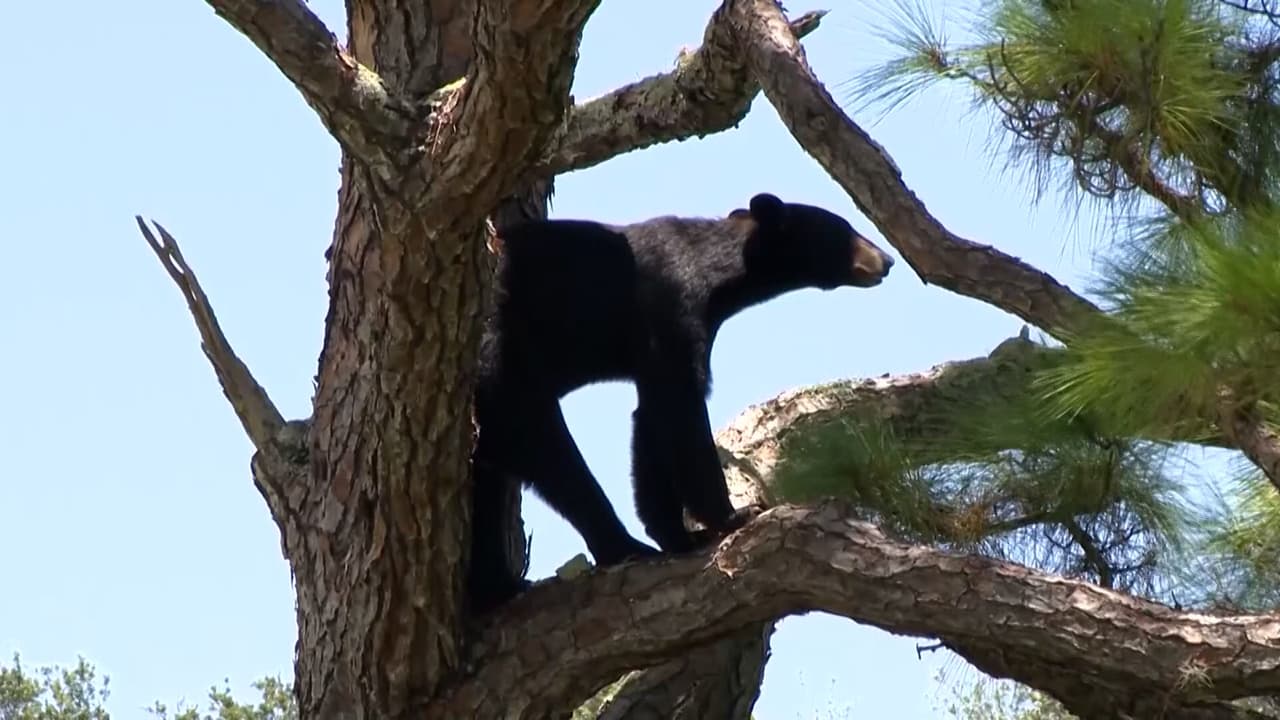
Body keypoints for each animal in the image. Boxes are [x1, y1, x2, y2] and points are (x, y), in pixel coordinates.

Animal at [468, 192, 895, 613]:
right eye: (843, 227)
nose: (886, 260)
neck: (717, 273)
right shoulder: (670, 306)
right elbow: (682, 407)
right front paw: (731, 516)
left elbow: (652, 419)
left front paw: (676, 533)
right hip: (505, 362)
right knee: (546, 449)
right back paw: (618, 546)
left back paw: (498, 586)